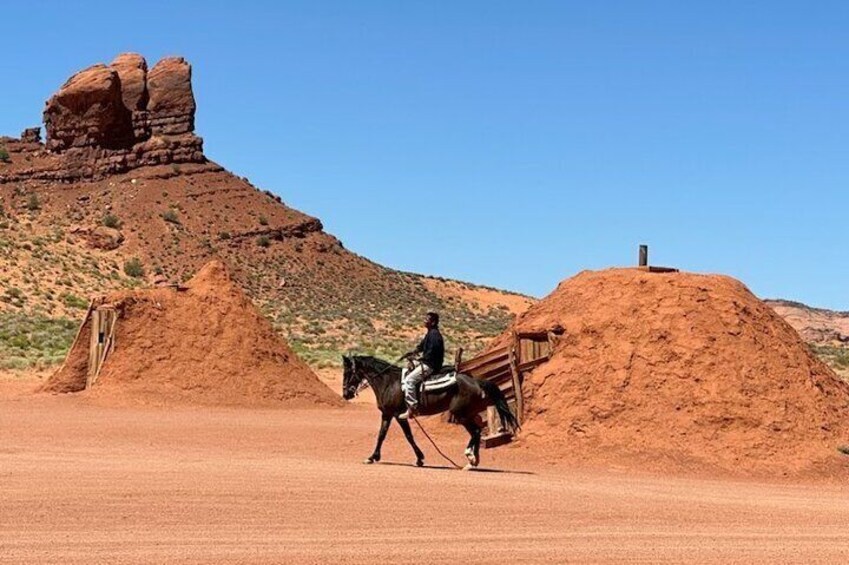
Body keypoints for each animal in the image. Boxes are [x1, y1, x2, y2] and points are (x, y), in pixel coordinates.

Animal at [340, 354, 516, 470]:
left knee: (476, 432)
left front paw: (419, 459)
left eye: (347, 372)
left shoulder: (397, 415)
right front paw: (372, 457)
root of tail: (477, 382)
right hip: (469, 413)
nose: (346, 394)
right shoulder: (387, 414)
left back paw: (470, 457)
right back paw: (473, 461)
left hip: (461, 415)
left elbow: (408, 436)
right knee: (477, 431)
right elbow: (382, 435)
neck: (389, 382)